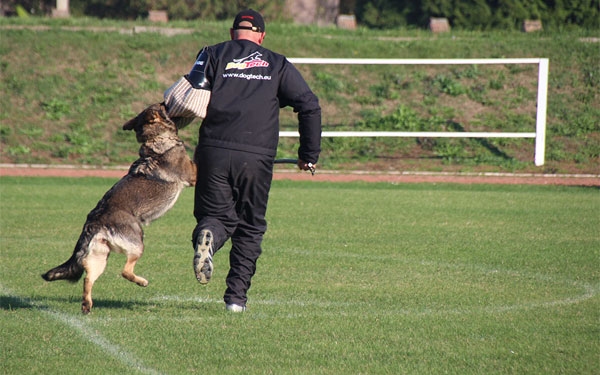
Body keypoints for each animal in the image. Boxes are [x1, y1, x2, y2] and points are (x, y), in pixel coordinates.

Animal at [42, 103, 197, 314]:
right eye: (163, 105)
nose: (168, 102)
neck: (157, 138)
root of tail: (94, 220)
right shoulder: (192, 175)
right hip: (138, 242)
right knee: (124, 271)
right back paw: (141, 282)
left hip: (100, 256)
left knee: (88, 277)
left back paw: (87, 304)